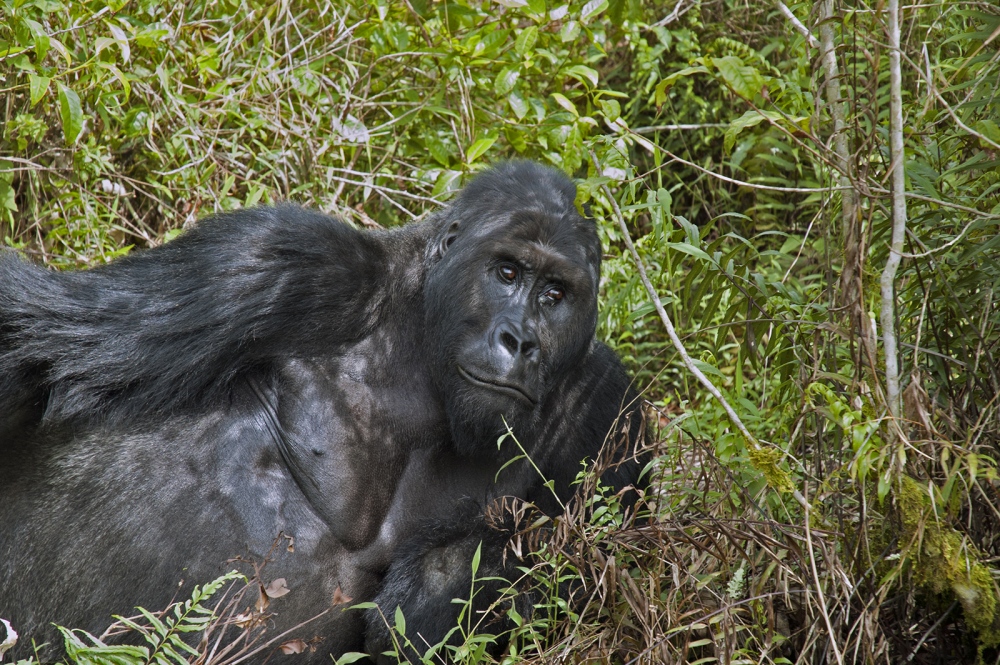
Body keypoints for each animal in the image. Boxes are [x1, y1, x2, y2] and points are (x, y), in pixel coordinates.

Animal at [0, 160, 644, 660]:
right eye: (507, 271)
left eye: (556, 294)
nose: (520, 340)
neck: (424, 334)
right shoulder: (284, 258)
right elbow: (42, 340)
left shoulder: (609, 406)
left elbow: (578, 582)